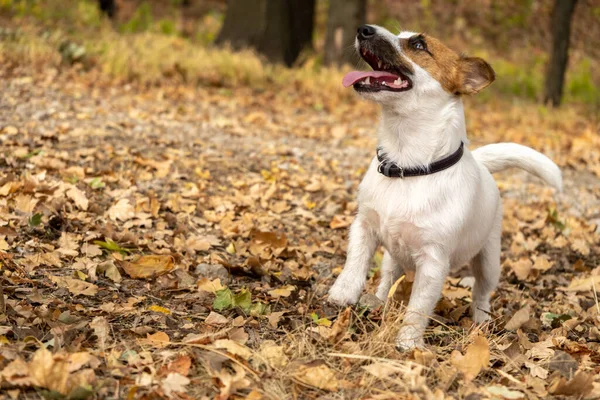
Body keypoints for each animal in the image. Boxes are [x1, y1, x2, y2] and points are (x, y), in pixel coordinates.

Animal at [326, 25, 560, 350]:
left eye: (418, 45)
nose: (364, 30)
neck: (407, 167)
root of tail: (482, 164)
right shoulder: (364, 227)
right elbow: (355, 261)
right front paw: (344, 291)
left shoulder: (433, 264)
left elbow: (417, 308)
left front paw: (408, 343)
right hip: (392, 258)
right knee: (387, 279)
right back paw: (377, 300)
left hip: (489, 261)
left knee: (481, 292)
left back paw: (481, 320)